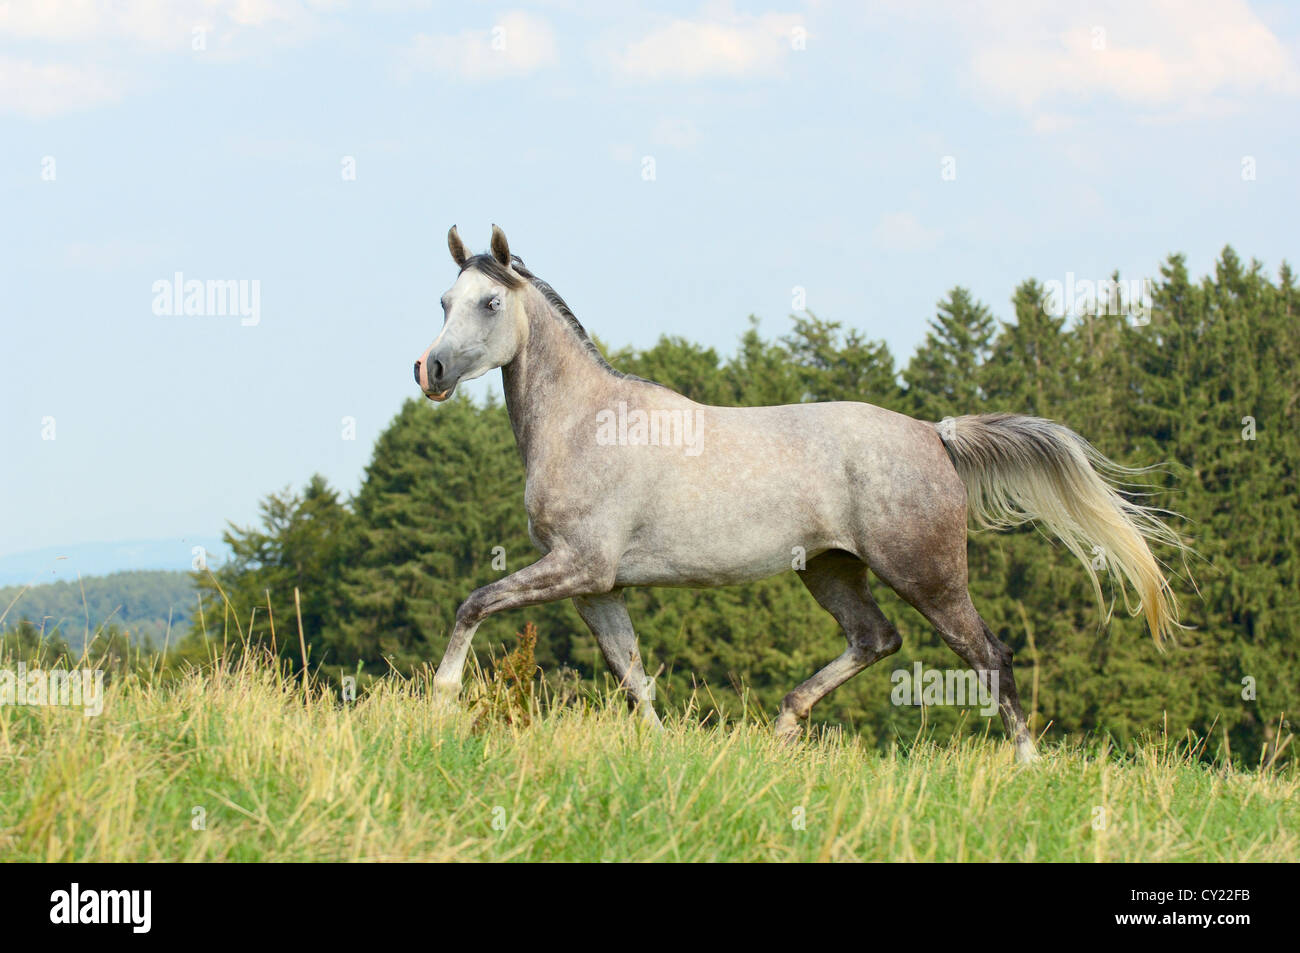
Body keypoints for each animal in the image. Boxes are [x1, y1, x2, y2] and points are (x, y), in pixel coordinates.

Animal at [413, 223, 1180, 759]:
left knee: (989, 655)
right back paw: (783, 725)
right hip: (831, 569)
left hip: (927, 574)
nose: (431, 369)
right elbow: (633, 673)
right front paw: (662, 752)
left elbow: (475, 602)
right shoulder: (598, 586)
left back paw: (1027, 765)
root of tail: (934, 435)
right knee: (877, 638)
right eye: (444, 300)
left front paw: (441, 701)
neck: (585, 423)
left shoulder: (577, 566)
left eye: (489, 302)